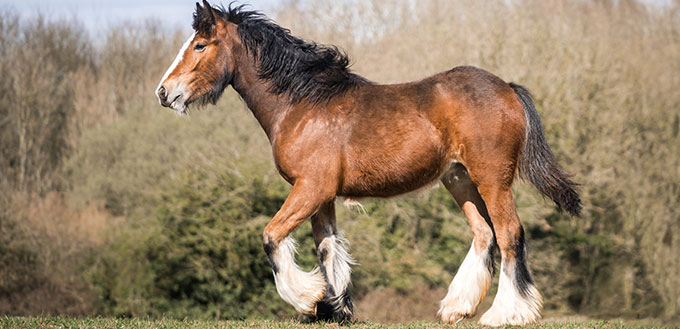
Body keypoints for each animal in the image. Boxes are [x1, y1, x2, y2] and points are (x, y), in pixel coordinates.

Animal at [154, 1, 580, 326]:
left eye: (200, 45)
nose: (163, 92)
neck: (302, 103)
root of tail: (507, 87)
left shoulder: (310, 188)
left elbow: (272, 237)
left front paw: (308, 299)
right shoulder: (321, 196)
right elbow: (328, 248)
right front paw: (333, 309)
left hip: (492, 179)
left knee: (509, 234)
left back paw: (505, 313)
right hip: (460, 179)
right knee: (484, 234)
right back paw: (456, 307)